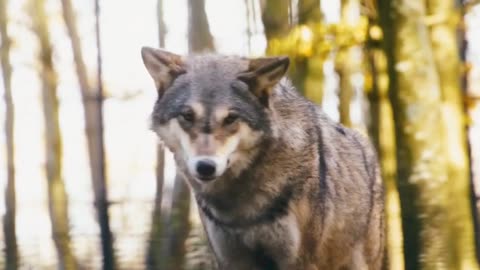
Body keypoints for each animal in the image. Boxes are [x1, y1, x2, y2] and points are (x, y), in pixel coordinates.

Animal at [141, 47, 384, 270]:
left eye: (231, 118)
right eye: (187, 116)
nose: (205, 166)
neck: (240, 209)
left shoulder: (298, 261)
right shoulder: (231, 259)